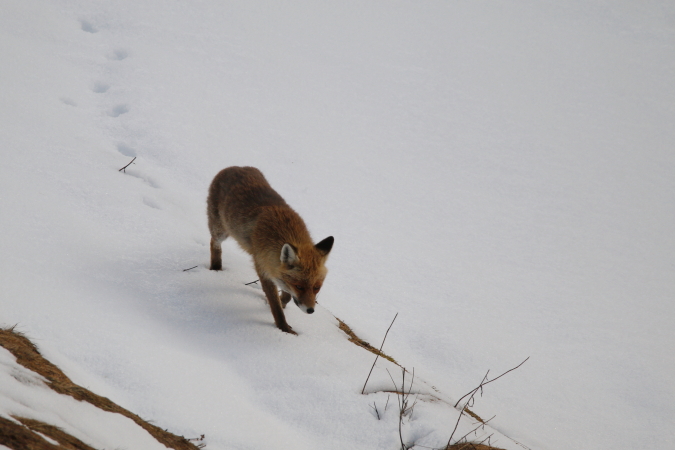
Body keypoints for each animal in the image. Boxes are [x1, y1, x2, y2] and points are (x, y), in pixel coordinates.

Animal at [207, 166, 334, 335]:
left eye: (317, 287)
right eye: (299, 287)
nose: (310, 310)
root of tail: (235, 167)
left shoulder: (276, 269)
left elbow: (286, 295)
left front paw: (282, 302)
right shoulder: (263, 269)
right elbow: (276, 307)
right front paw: (284, 329)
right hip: (221, 231)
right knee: (214, 243)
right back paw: (215, 268)